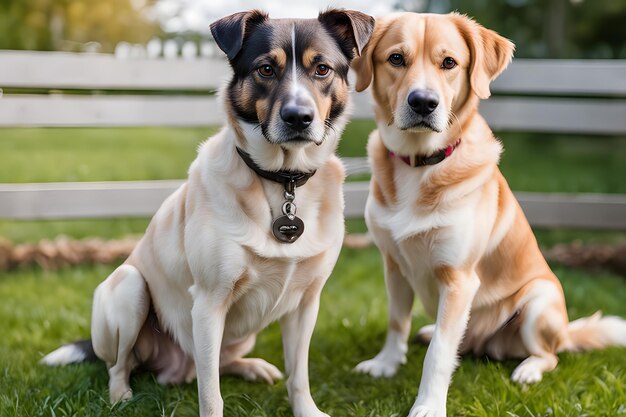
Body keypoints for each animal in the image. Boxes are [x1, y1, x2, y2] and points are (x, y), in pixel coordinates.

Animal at [44, 9, 372, 416]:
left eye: (322, 69)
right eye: (266, 69)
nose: (298, 117)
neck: (284, 180)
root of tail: (175, 369)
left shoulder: (306, 302)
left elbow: (299, 375)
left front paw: (306, 410)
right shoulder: (208, 304)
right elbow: (211, 392)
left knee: (221, 361)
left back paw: (251, 367)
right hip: (130, 288)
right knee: (121, 364)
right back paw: (120, 395)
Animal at [352, 11, 624, 414]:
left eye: (449, 63)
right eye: (396, 59)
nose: (423, 102)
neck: (420, 163)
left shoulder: (459, 280)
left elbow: (439, 353)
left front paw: (428, 404)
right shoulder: (394, 266)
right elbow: (396, 321)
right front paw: (386, 363)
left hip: (539, 302)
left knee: (550, 355)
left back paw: (528, 368)